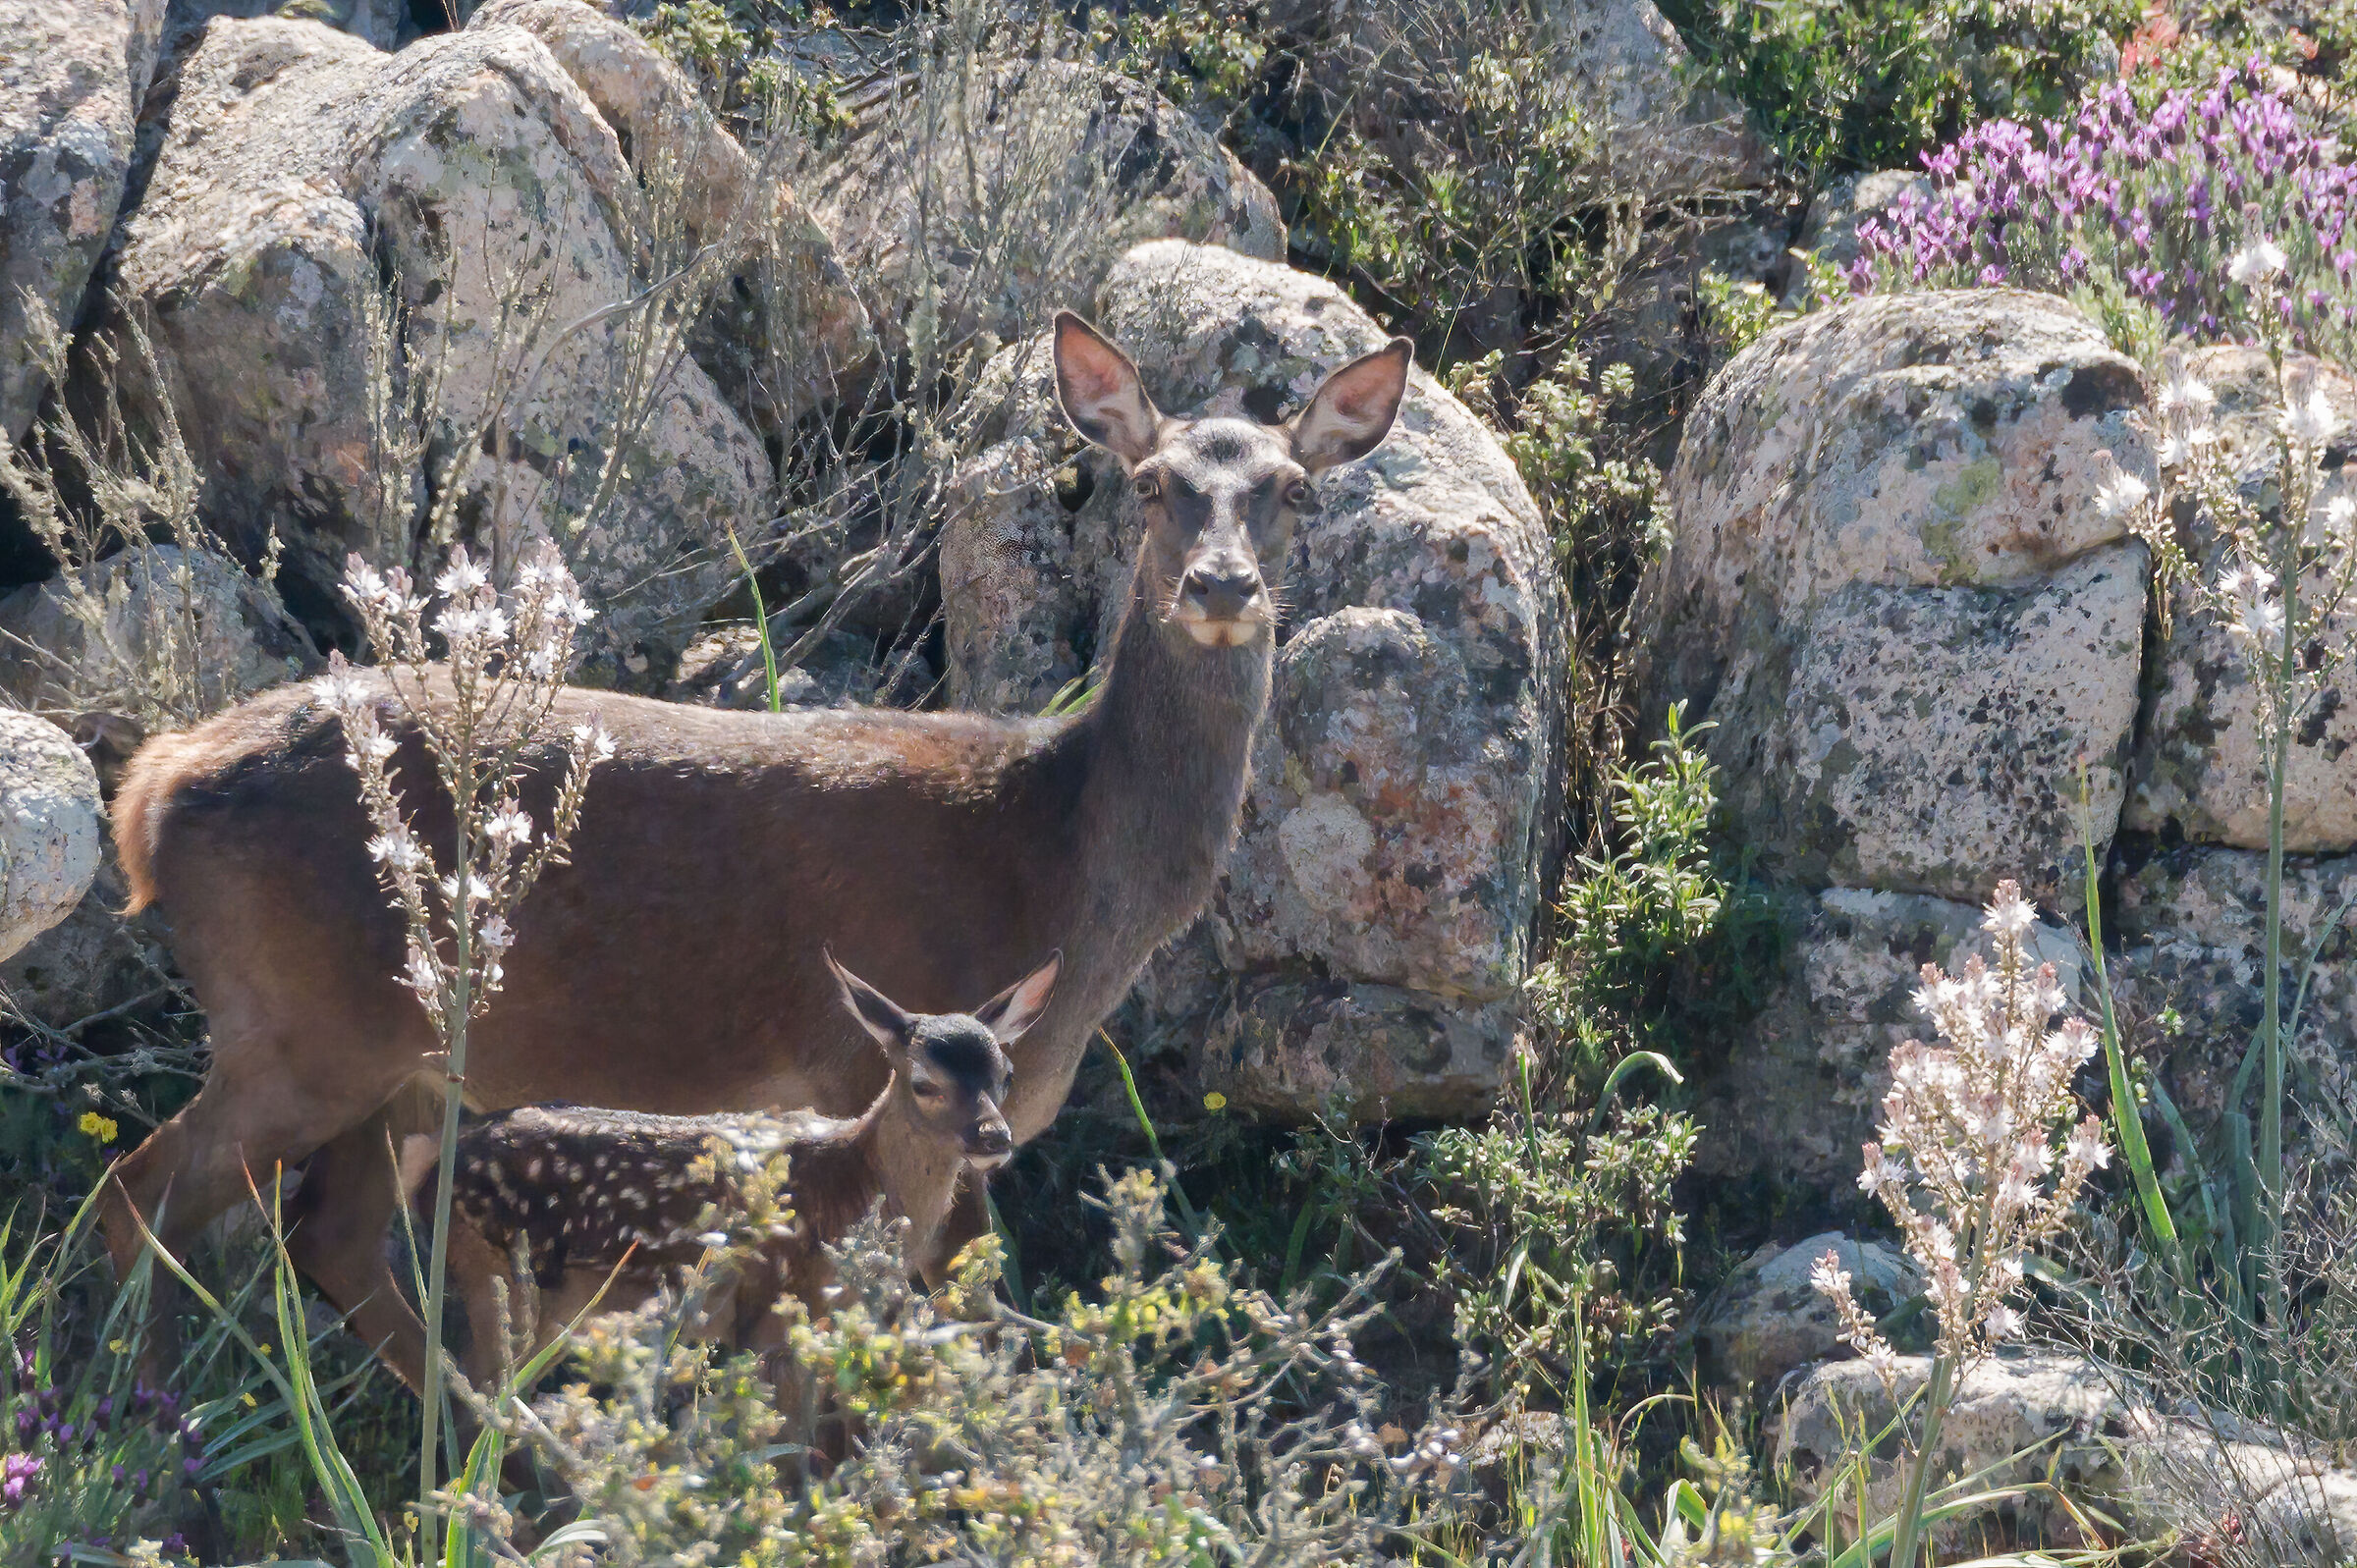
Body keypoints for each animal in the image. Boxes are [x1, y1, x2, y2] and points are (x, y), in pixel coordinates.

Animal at [407, 949, 1057, 1385]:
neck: (851, 1181)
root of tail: (433, 1161)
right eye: (924, 1083)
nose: (995, 1137)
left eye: (1006, 1075)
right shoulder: (770, 1312)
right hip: (496, 1277)